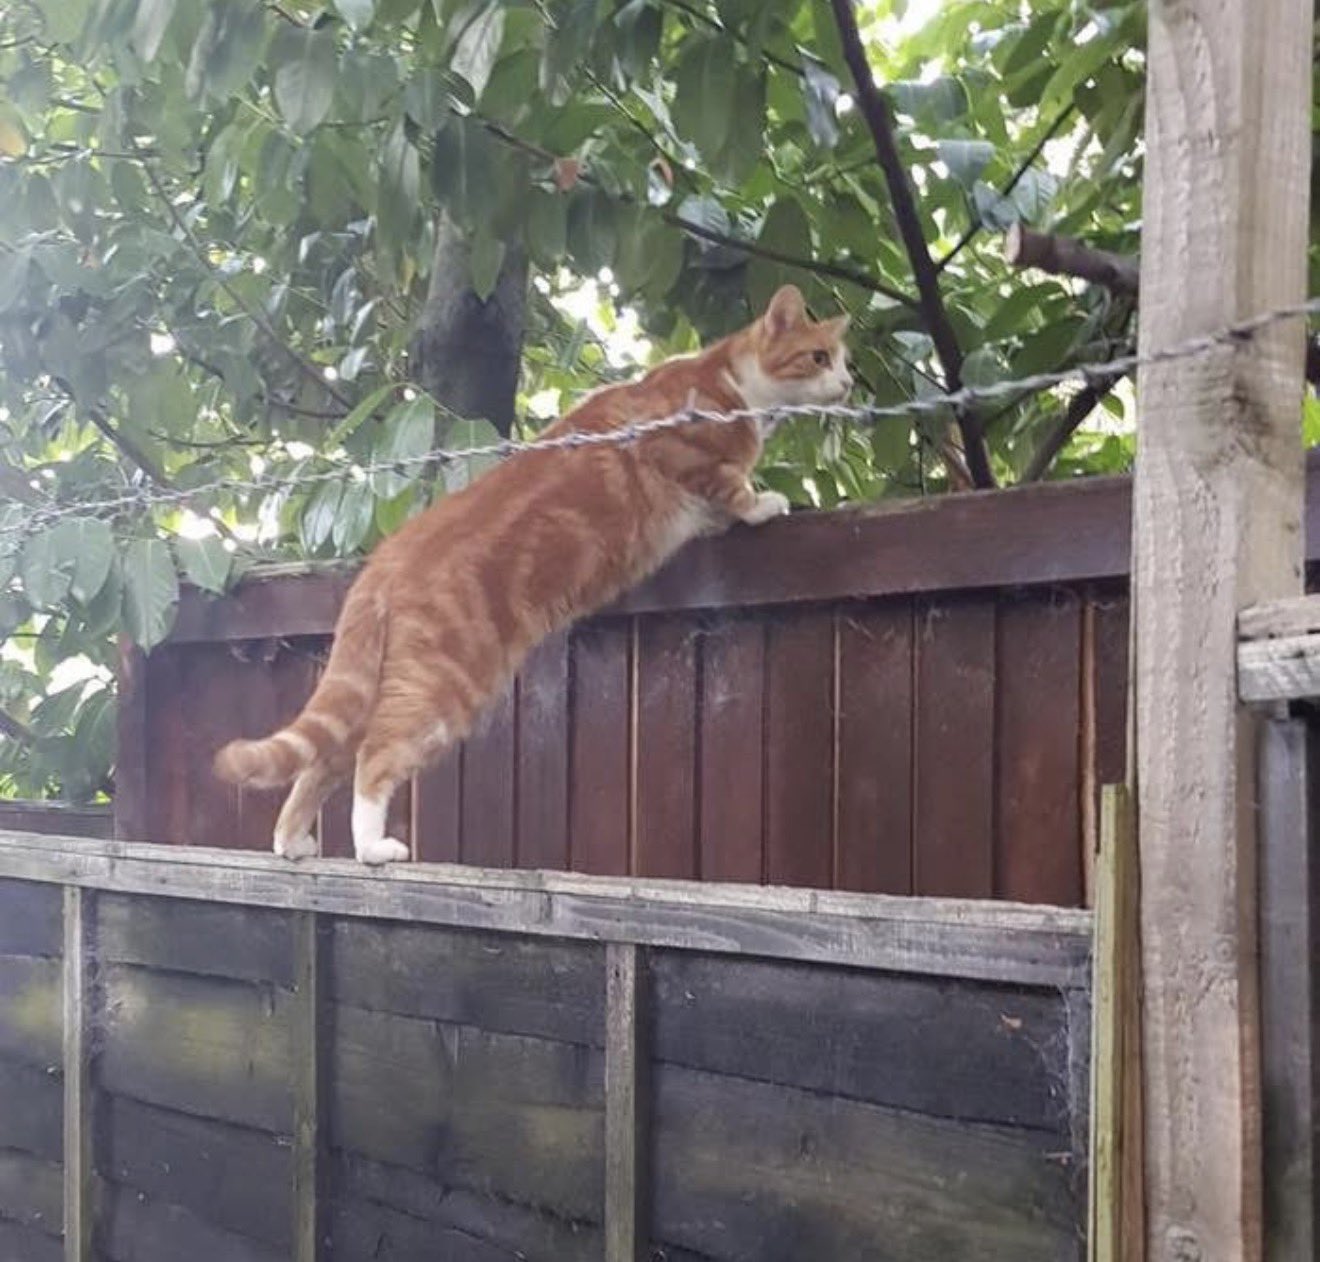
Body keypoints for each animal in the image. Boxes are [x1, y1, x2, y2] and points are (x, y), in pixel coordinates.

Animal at [213, 284, 852, 865]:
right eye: (820, 357)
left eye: (843, 360)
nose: (848, 384)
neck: (731, 383)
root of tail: (389, 555)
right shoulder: (683, 454)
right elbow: (730, 486)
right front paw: (762, 503)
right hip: (440, 684)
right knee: (375, 756)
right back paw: (374, 849)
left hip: (377, 680)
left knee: (323, 760)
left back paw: (291, 841)